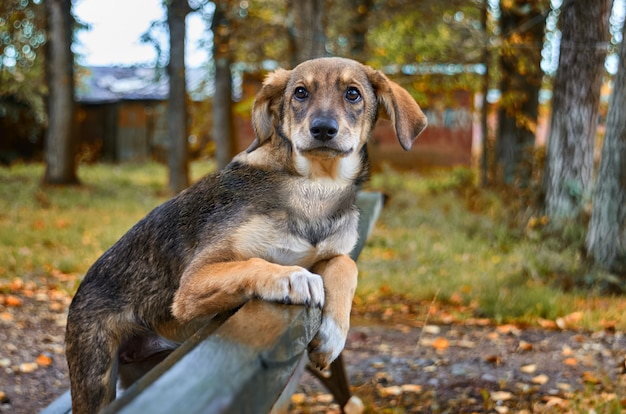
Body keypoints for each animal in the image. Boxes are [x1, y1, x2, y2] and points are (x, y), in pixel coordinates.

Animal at [64, 56, 424, 412]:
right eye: (300, 92)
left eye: (353, 94)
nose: (322, 128)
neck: (317, 188)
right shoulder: (192, 282)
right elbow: (253, 263)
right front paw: (292, 277)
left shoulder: (333, 253)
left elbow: (346, 265)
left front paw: (333, 335)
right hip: (95, 378)